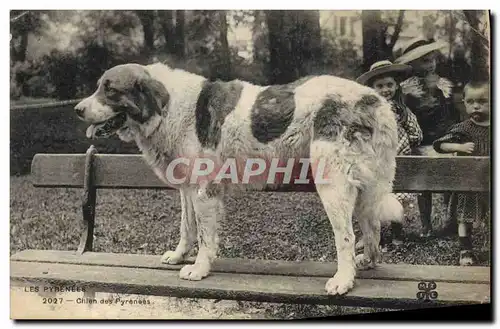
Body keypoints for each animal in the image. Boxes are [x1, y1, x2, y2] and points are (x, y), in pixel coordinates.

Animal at [75, 62, 402, 294]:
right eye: (99, 87)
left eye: (110, 90)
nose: (77, 109)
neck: (168, 108)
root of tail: (374, 99)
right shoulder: (188, 190)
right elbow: (187, 228)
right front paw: (179, 256)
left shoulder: (205, 191)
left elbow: (205, 236)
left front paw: (199, 269)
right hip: (365, 187)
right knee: (372, 228)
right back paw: (366, 262)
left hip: (333, 184)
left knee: (345, 237)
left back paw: (344, 279)